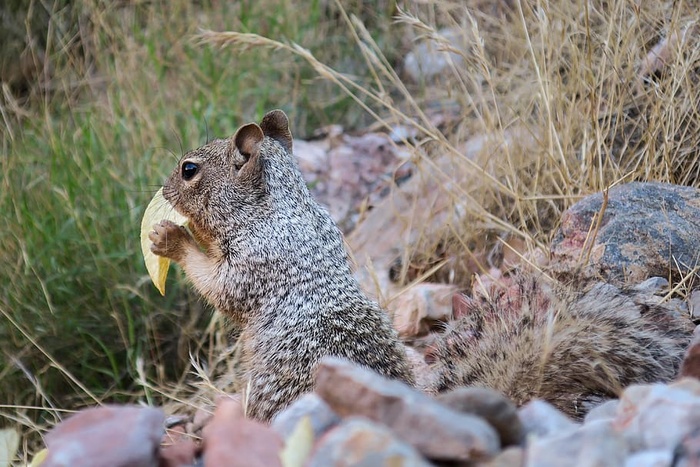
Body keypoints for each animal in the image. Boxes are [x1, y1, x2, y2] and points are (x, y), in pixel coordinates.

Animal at [150, 110, 416, 424]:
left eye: (189, 169)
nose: (164, 189)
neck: (281, 209)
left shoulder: (251, 262)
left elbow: (217, 287)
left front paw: (171, 237)